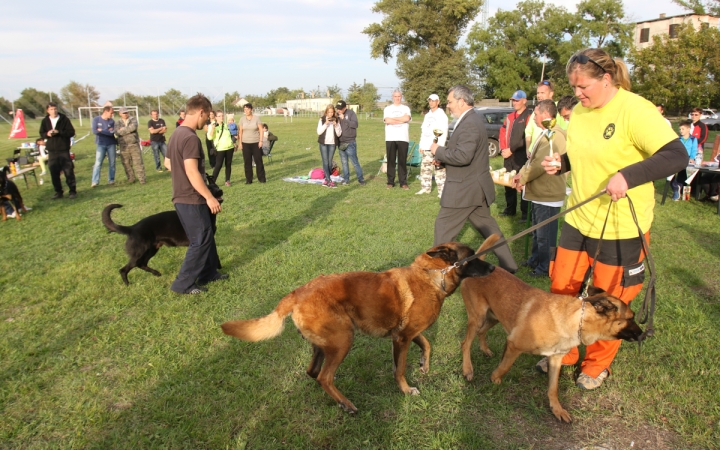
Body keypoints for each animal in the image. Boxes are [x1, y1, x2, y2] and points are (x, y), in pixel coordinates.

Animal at [222, 239, 498, 414]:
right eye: (472, 256)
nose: (494, 267)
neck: (433, 275)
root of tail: (296, 293)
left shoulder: (404, 335)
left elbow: (426, 344)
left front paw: (424, 365)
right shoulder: (403, 338)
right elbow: (400, 369)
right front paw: (406, 390)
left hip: (323, 345)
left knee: (312, 373)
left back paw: (338, 401)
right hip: (343, 340)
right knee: (324, 377)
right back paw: (347, 404)